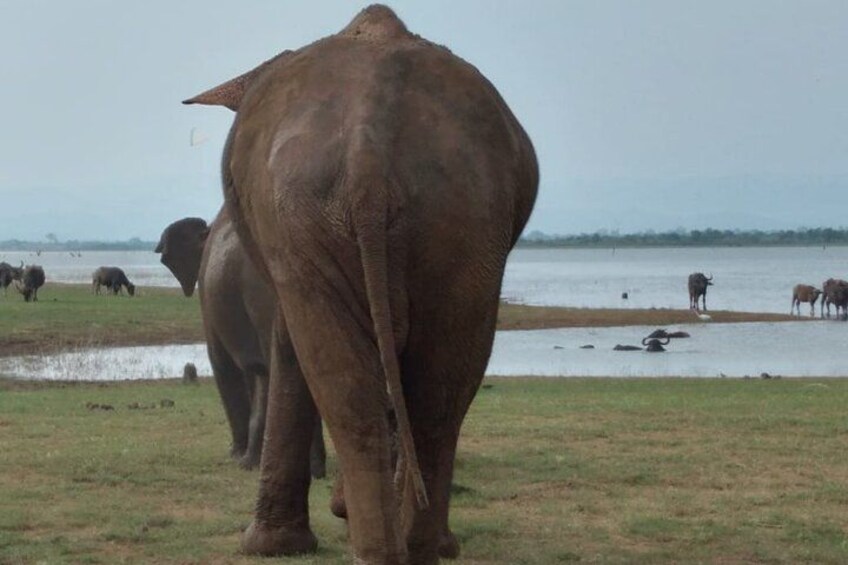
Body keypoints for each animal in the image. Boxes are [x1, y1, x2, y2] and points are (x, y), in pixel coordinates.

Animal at [182, 5, 538, 563]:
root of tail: (369, 148)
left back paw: (377, 547)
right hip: (466, 222)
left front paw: (270, 545)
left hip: (320, 217)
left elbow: (291, 348)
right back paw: (423, 548)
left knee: (350, 391)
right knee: (435, 395)